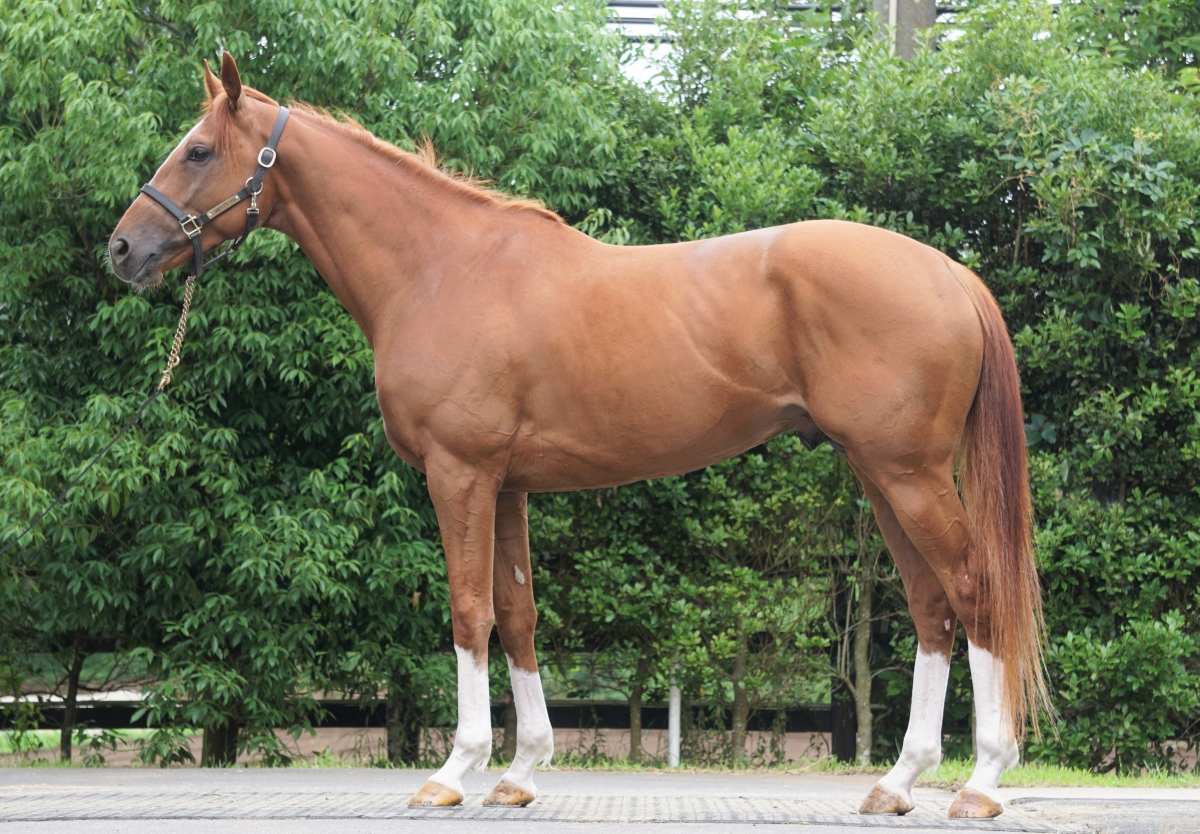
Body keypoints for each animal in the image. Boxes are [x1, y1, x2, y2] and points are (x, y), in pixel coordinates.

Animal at [109, 54, 1046, 818]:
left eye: (199, 151)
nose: (121, 249)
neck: (441, 269)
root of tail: (951, 273)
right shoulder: (509, 484)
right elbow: (520, 614)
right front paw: (521, 771)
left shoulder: (459, 474)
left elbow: (469, 610)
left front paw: (454, 772)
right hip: (882, 473)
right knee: (931, 605)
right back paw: (898, 782)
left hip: (909, 473)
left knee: (973, 591)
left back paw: (981, 781)